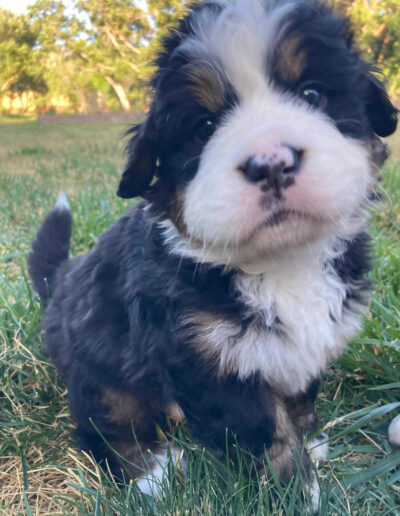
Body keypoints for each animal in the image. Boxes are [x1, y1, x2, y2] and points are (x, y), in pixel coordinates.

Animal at [28, 0, 396, 510]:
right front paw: (293, 493)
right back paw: (151, 473)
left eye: (313, 93)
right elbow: (262, 430)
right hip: (94, 366)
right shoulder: (204, 356)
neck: (280, 260)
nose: (271, 162)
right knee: (105, 424)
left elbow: (298, 398)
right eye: (204, 127)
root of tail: (62, 281)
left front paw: (311, 443)